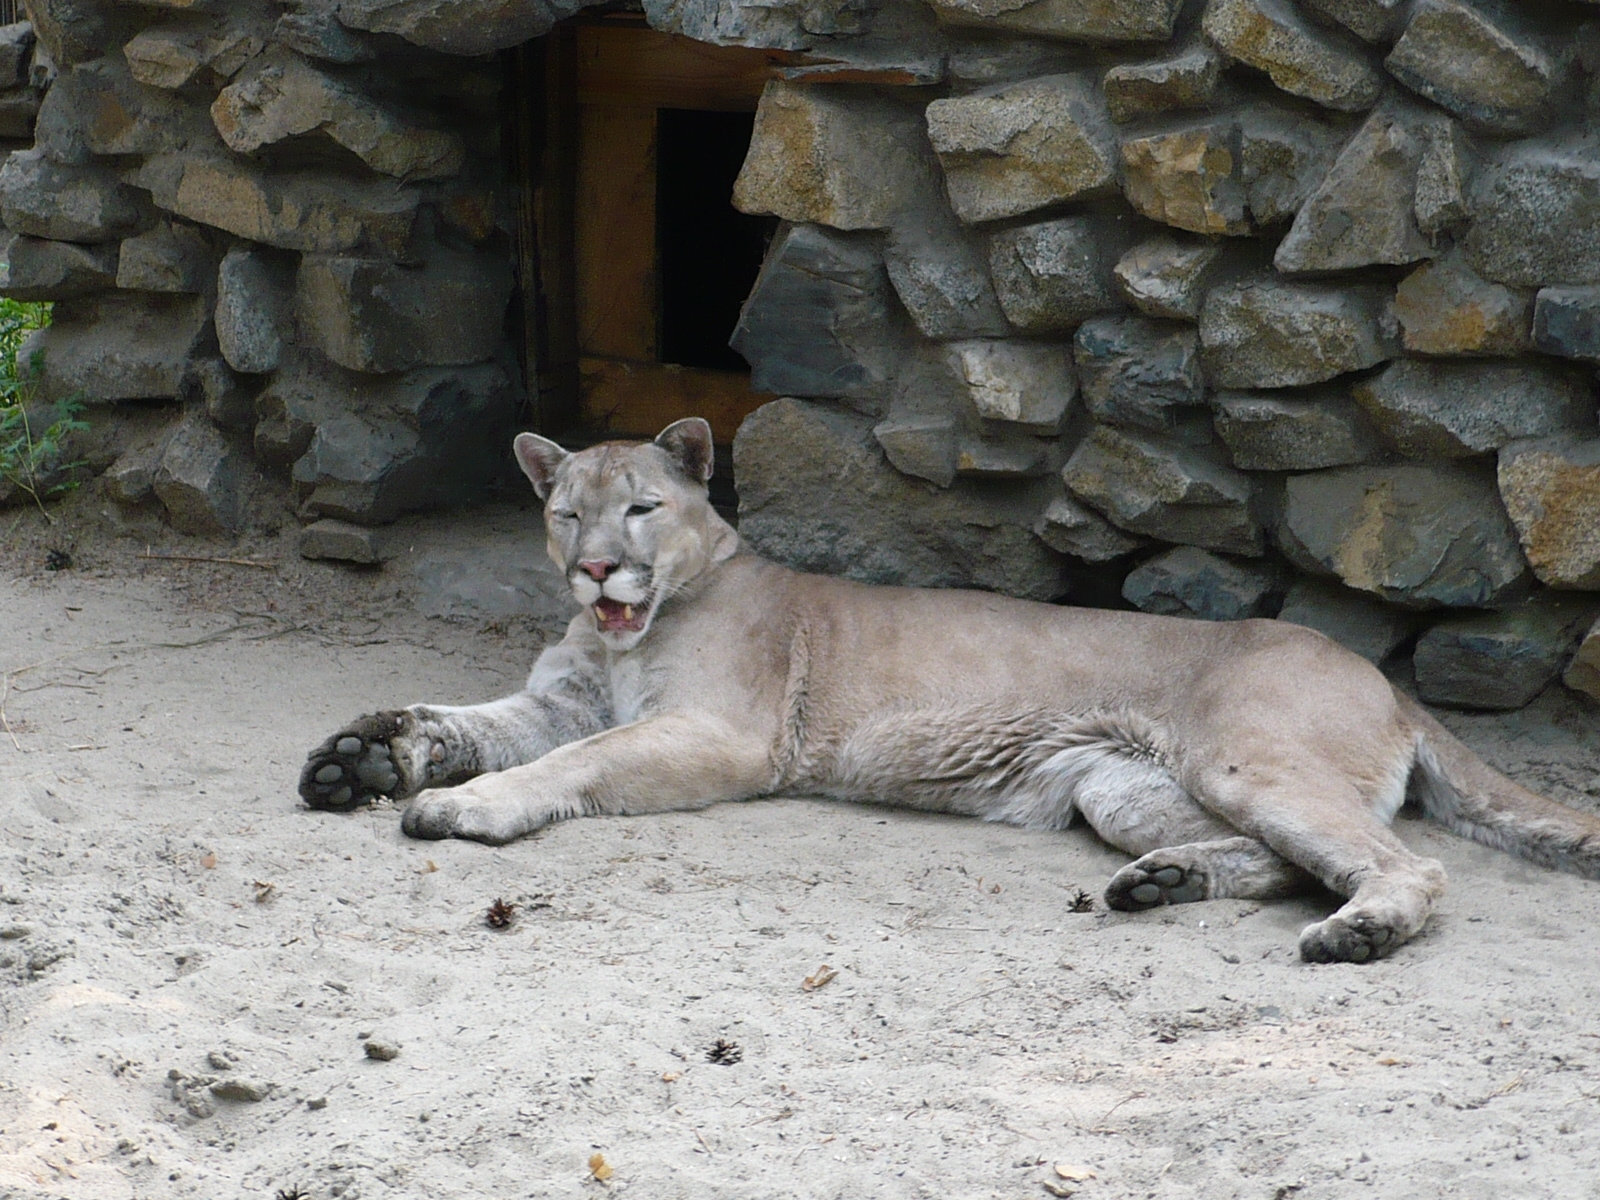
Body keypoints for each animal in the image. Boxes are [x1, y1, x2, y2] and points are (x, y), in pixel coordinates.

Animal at [300, 419, 1600, 966]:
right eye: (567, 511)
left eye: (642, 508)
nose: (594, 569)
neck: (630, 633)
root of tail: (1371, 669)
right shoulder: (563, 699)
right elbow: (472, 724)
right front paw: (365, 755)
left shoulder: (717, 735)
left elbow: (566, 765)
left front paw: (463, 807)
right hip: (1123, 786)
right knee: (1282, 860)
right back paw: (1164, 884)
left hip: (1249, 761)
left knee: (1401, 864)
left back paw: (1357, 935)